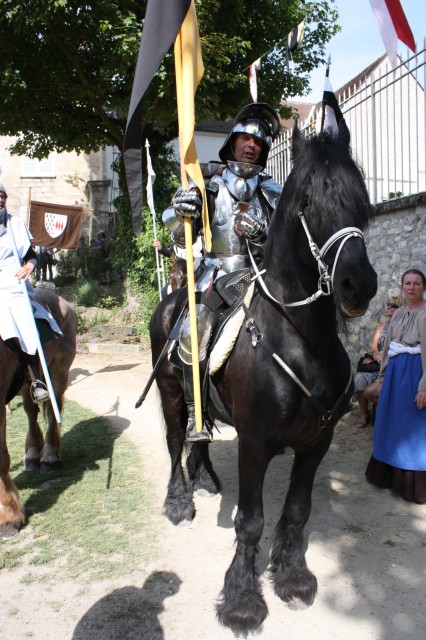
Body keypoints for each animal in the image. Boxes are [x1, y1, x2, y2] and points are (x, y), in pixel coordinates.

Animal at [0, 290, 76, 540]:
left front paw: (8, 518)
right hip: (26, 382)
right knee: (31, 412)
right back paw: (33, 453)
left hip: (58, 371)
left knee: (53, 410)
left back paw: (49, 456)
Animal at [149, 124, 376, 636]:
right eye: (309, 201)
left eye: (360, 198)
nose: (358, 285)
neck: (303, 342)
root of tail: (173, 299)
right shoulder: (254, 444)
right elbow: (250, 521)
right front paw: (242, 598)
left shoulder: (316, 443)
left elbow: (297, 511)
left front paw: (291, 575)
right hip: (171, 391)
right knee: (175, 440)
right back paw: (179, 500)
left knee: (200, 434)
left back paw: (205, 478)